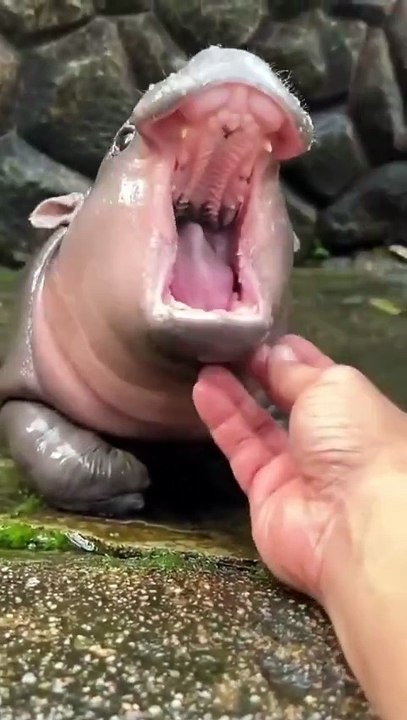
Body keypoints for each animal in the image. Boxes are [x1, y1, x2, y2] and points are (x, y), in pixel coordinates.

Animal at [0, 46, 313, 518]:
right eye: (122, 137)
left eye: (278, 178)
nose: (228, 51)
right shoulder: (18, 384)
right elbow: (47, 444)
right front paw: (131, 482)